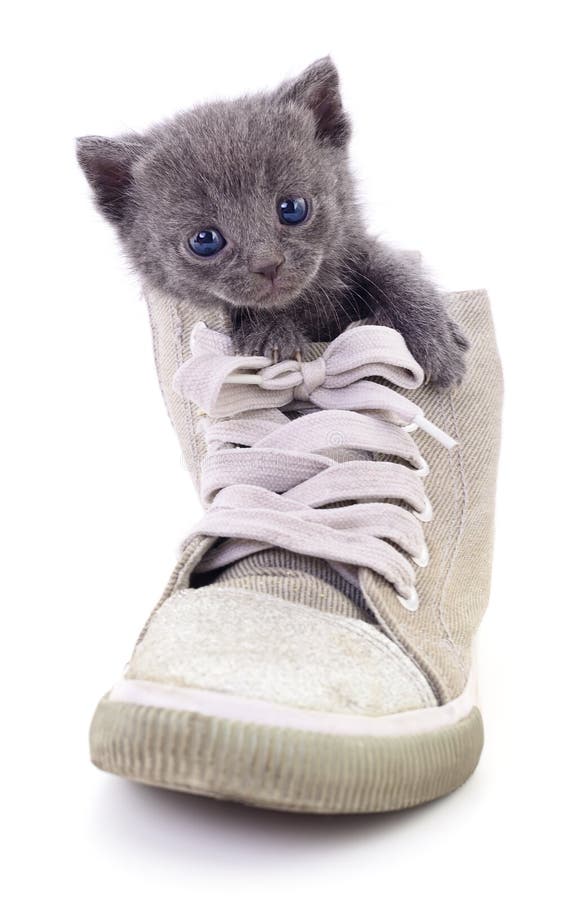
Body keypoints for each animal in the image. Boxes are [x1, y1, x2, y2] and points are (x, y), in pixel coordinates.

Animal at [77, 55, 466, 386]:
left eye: (292, 207)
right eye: (204, 240)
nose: (269, 264)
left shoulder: (356, 244)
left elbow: (393, 267)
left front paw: (433, 337)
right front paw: (269, 332)